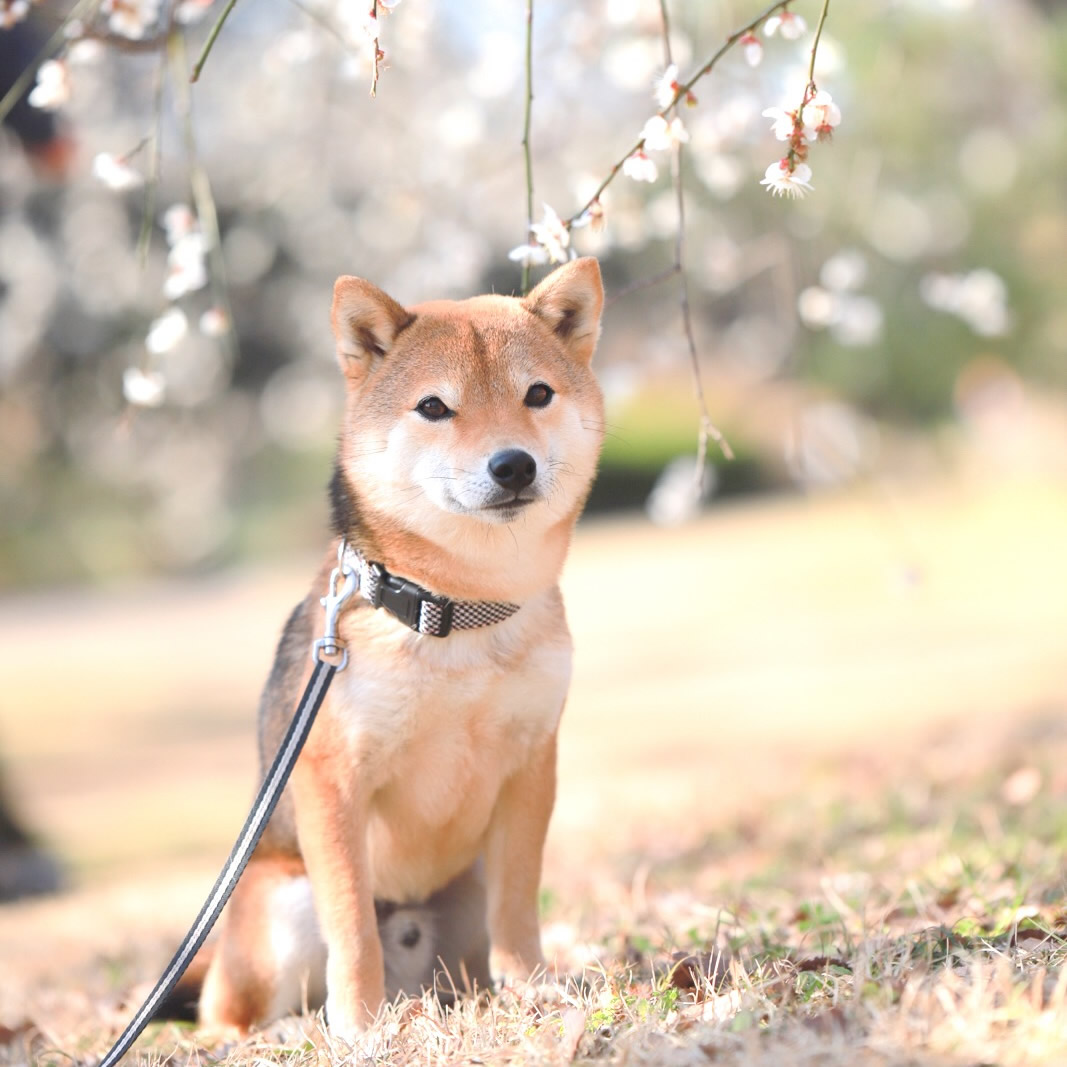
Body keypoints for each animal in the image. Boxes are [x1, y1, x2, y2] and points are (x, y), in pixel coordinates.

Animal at [196, 256, 606, 1041]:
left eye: (537, 394)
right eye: (434, 407)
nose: (512, 465)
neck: (458, 611)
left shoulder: (531, 764)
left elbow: (519, 901)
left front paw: (534, 990)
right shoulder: (332, 780)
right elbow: (353, 926)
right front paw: (360, 1029)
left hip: (464, 891)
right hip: (280, 900)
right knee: (224, 1014)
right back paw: (296, 1028)